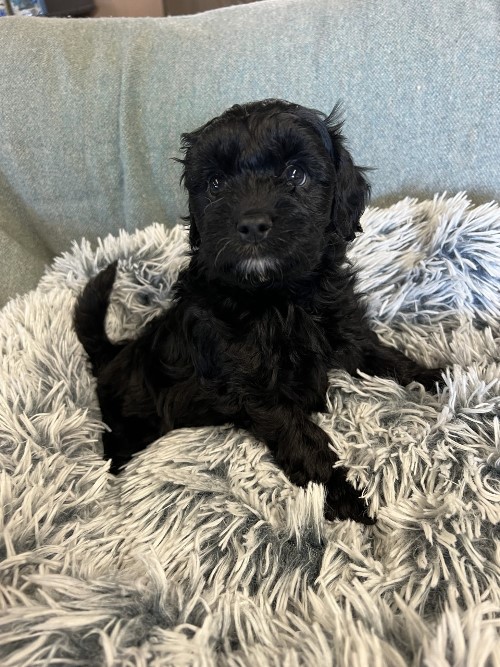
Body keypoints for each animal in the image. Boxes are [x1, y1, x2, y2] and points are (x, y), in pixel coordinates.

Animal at [74, 100, 442, 528]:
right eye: (216, 184)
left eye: (296, 174)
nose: (251, 223)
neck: (279, 298)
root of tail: (114, 354)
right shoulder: (257, 388)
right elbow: (303, 441)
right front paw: (346, 499)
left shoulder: (345, 327)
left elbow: (386, 357)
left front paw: (440, 378)